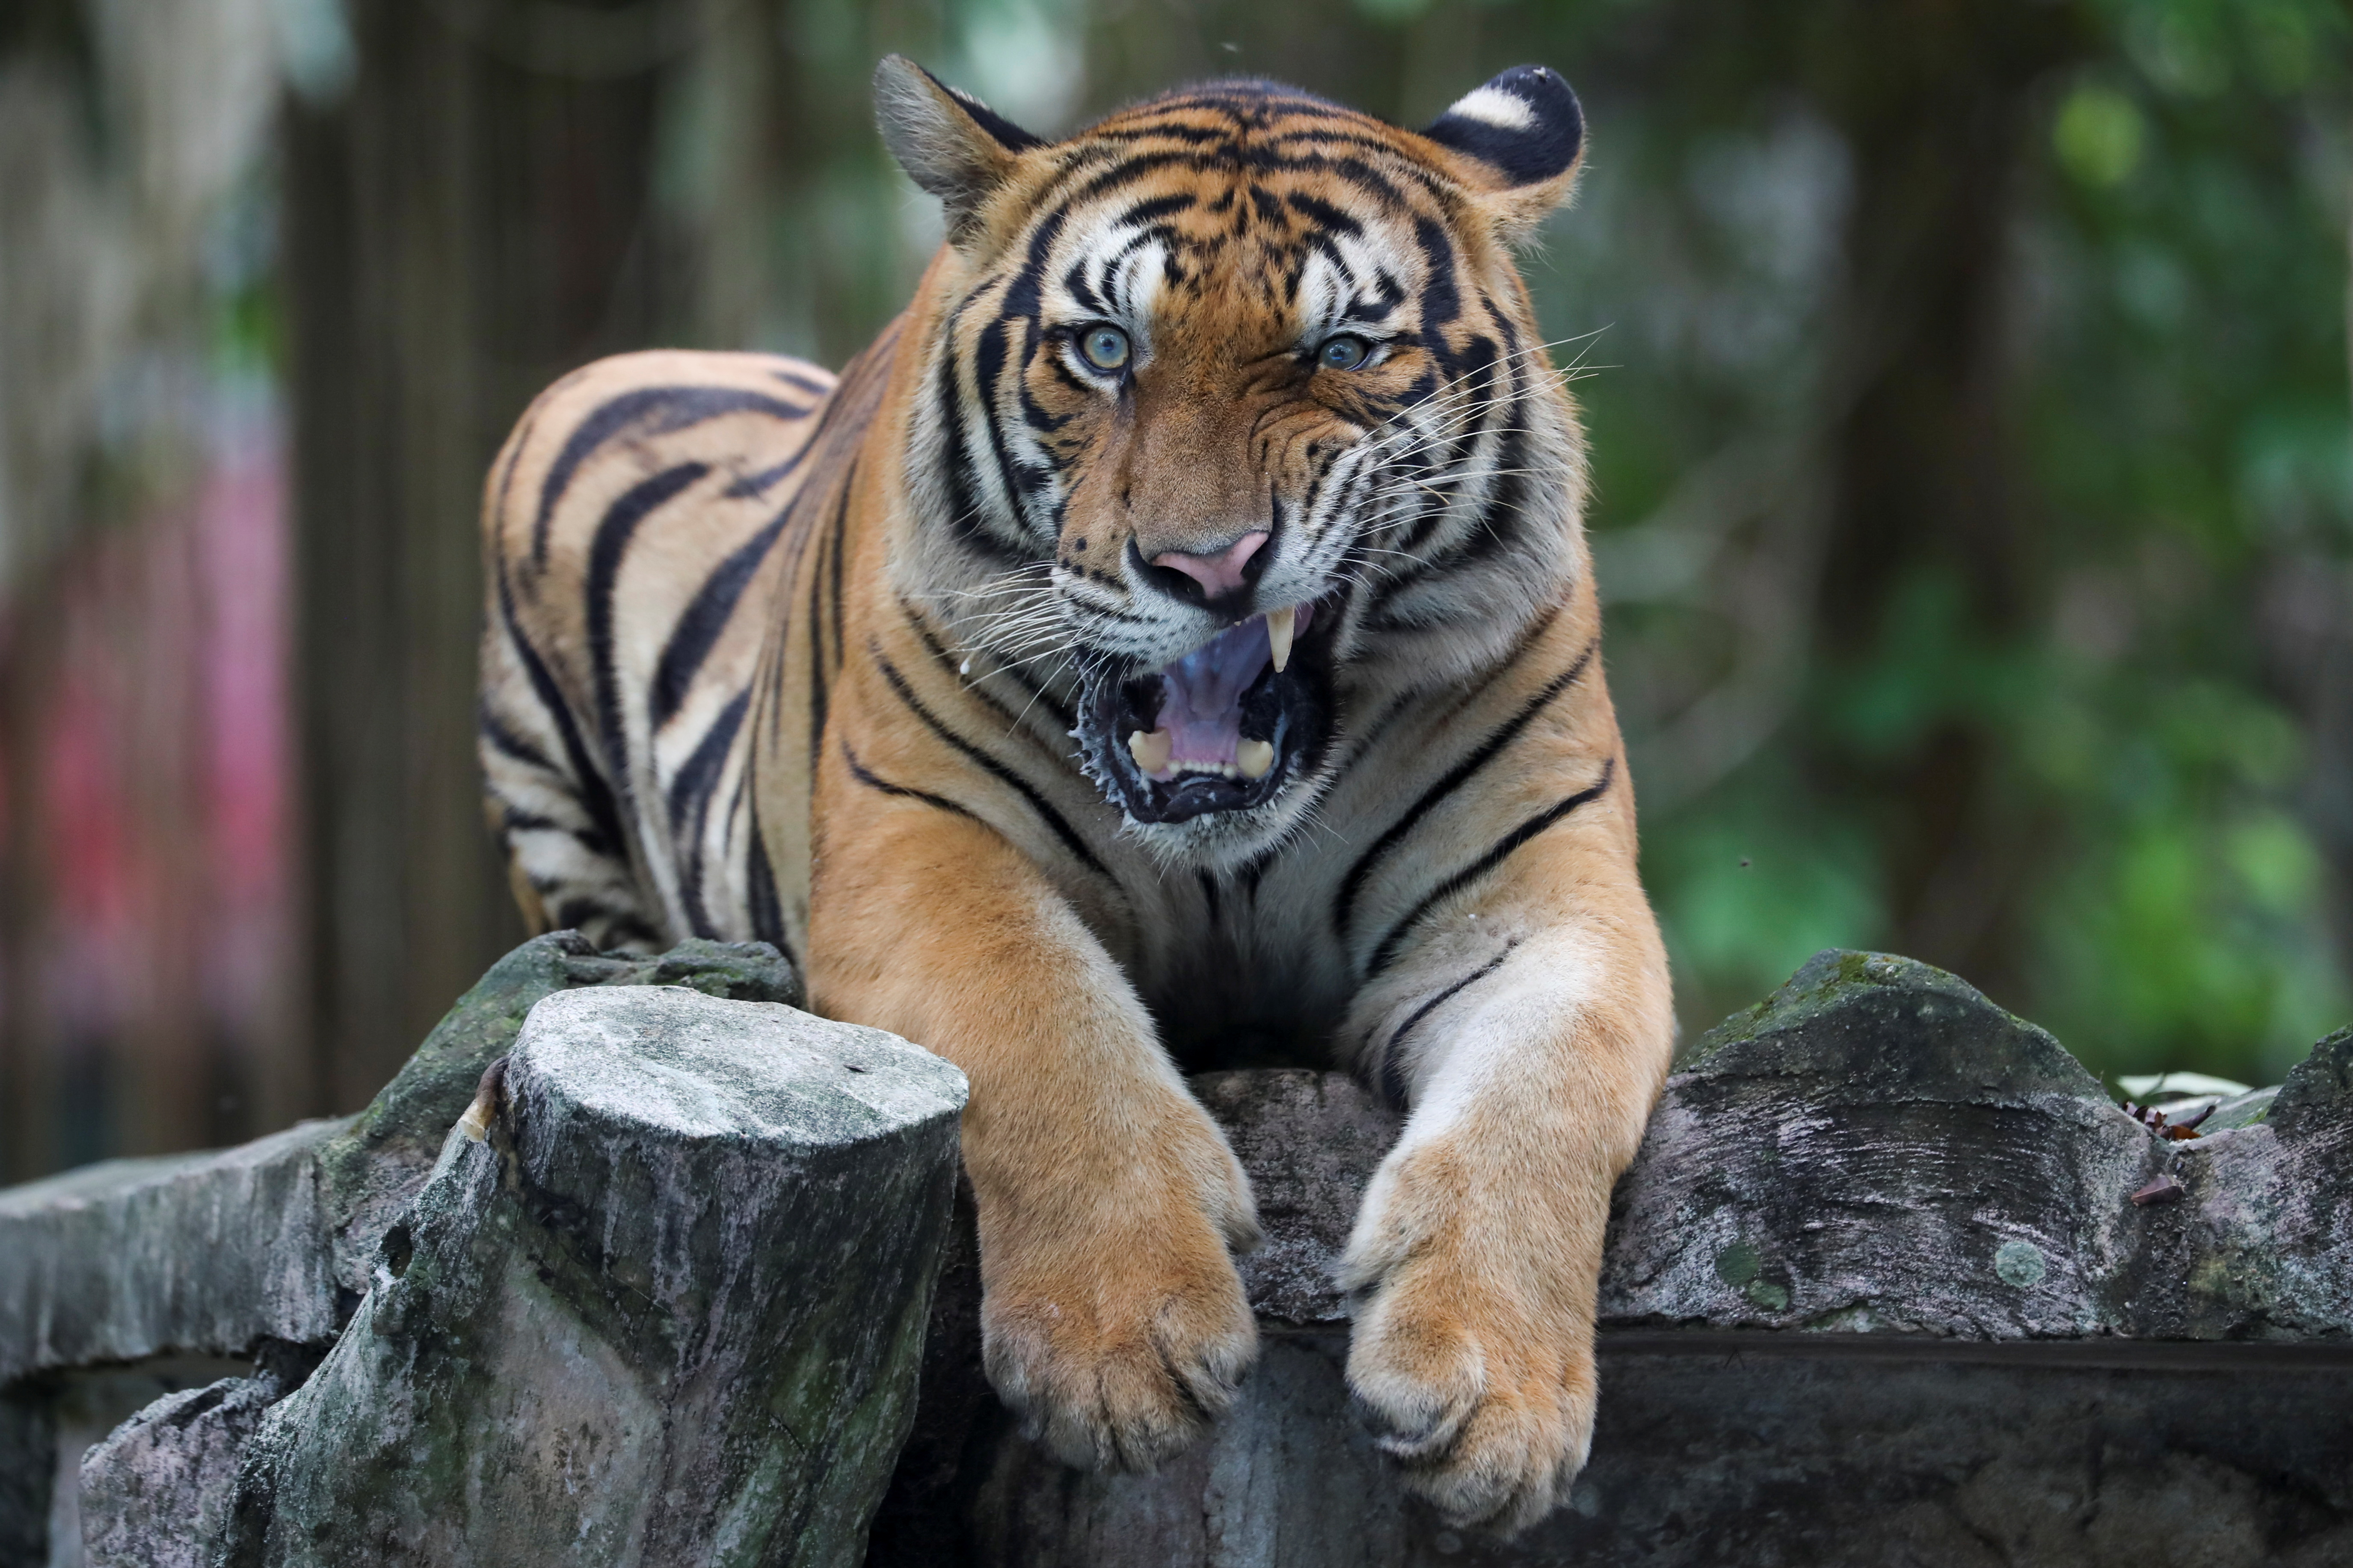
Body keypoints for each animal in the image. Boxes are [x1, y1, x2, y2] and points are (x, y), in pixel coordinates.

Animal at [478, 56, 1673, 1533]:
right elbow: (1042, 1021)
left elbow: (1543, 1101)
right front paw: (1123, 1347)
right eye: (1107, 350)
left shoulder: (1545, 898)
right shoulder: (923, 845)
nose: (1209, 566)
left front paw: (1490, 1397)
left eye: (1341, 351)